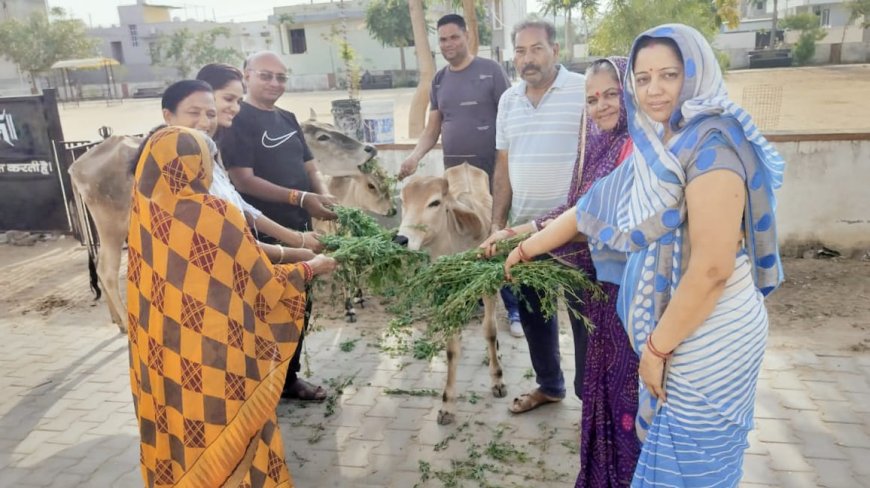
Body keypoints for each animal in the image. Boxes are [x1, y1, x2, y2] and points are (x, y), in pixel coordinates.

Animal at [396, 163, 504, 424]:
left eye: (435, 202)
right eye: (403, 201)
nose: (401, 239)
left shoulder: (488, 286)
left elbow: (490, 330)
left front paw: (497, 379)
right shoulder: (446, 296)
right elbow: (452, 349)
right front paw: (447, 404)